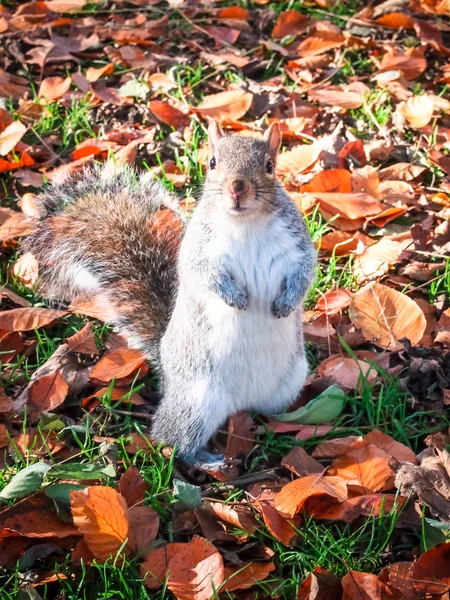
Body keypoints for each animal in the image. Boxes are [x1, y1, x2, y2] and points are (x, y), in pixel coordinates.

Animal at [23, 119, 316, 472]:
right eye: (213, 162)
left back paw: (283, 426)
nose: (237, 188)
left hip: (289, 383)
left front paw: (287, 302)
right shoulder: (198, 250)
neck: (246, 223)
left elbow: (304, 272)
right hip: (197, 401)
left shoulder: (297, 245)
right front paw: (235, 298)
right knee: (172, 440)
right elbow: (204, 274)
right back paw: (207, 461)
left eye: (270, 166)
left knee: (268, 412)